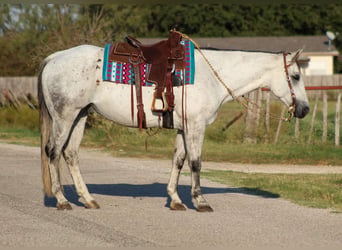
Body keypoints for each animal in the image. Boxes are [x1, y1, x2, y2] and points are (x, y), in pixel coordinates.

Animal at [38, 44, 310, 211]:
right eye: (296, 76)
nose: (305, 109)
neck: (210, 75)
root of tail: (54, 58)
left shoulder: (183, 128)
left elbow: (178, 161)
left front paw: (176, 200)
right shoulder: (196, 126)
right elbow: (195, 163)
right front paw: (200, 202)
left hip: (80, 115)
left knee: (70, 154)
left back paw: (88, 199)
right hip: (65, 116)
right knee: (53, 151)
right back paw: (62, 200)